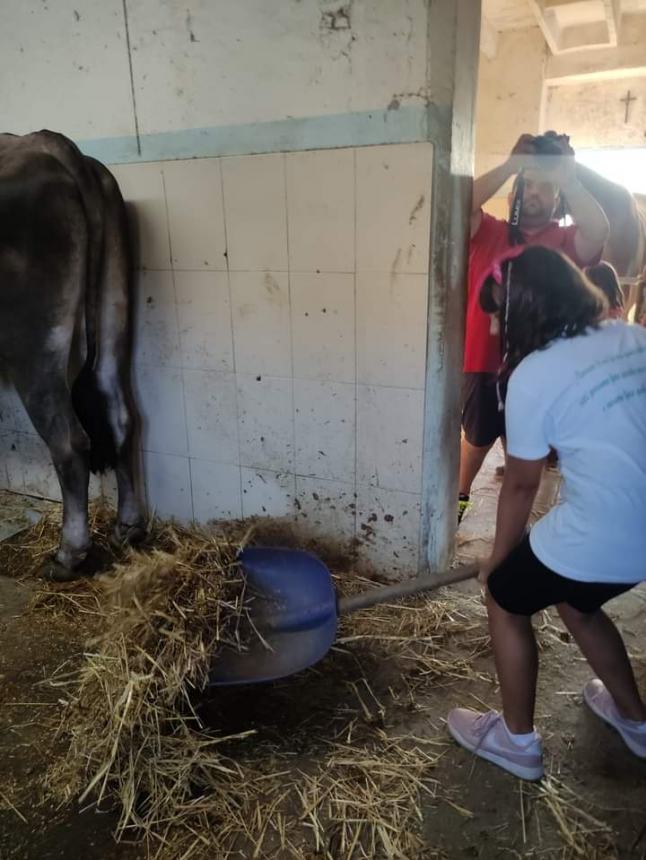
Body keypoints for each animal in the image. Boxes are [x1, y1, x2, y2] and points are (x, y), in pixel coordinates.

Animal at [0, 131, 144, 580]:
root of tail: (47, 141)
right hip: (114, 306)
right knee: (121, 416)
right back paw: (129, 529)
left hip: (33, 342)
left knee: (68, 442)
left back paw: (68, 556)